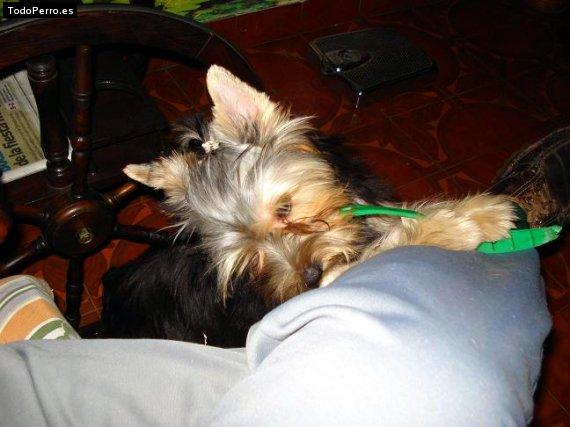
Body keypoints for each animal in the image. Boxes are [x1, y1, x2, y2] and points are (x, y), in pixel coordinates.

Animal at [104, 65, 516, 345]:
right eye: (252, 258)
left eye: (284, 209)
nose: (311, 275)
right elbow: (383, 251)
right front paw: (460, 223)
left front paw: (467, 214)